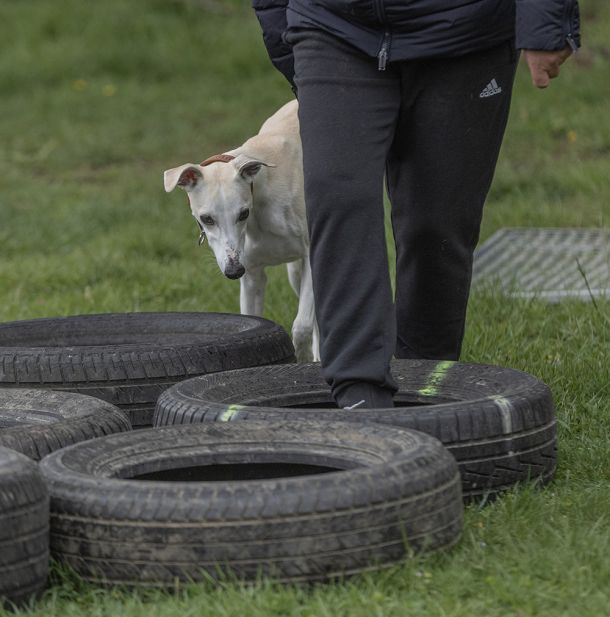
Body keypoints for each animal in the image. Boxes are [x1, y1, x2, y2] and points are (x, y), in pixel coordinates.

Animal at [164, 100, 319, 362]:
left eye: (243, 213)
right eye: (206, 219)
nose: (234, 271)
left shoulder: (310, 258)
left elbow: (302, 327)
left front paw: (305, 357)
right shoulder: (252, 274)